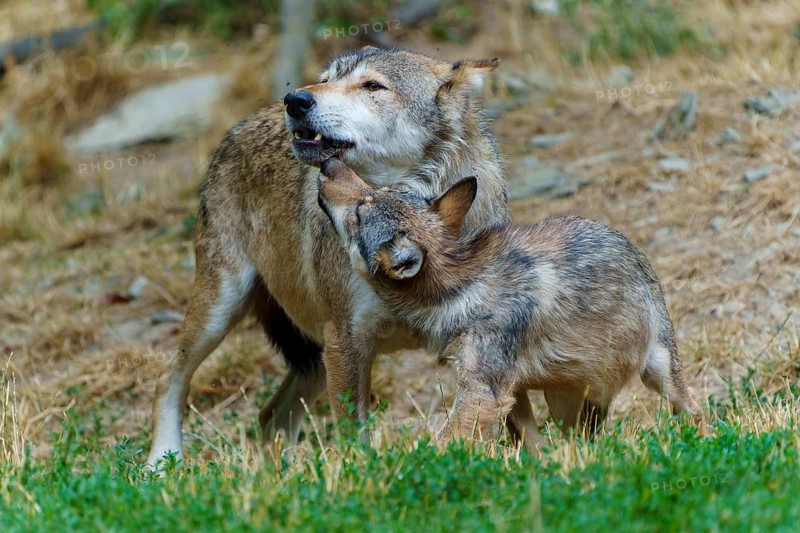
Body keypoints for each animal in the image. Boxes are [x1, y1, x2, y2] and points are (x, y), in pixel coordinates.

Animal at [146, 47, 510, 466]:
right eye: (325, 79)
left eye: (372, 86)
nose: (296, 100)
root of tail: (239, 126)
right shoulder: (346, 341)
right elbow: (355, 438)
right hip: (222, 311)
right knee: (168, 379)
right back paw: (161, 464)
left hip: (312, 359)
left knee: (270, 416)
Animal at [317, 157, 704, 448]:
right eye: (371, 194)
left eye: (359, 210)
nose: (327, 163)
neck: (462, 287)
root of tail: (629, 246)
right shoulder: (510, 390)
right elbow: (533, 444)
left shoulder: (483, 393)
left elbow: (440, 444)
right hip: (564, 402)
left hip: (660, 372)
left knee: (695, 410)